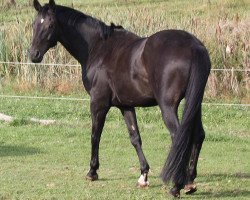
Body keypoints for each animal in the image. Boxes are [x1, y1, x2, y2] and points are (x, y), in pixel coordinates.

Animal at [30, 0, 212, 197]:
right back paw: (190, 181)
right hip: (195, 103)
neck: (98, 48)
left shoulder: (98, 103)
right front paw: (143, 176)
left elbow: (95, 135)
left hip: (168, 107)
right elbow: (135, 138)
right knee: (198, 135)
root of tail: (193, 46)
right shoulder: (126, 105)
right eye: (34, 24)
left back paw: (176, 186)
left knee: (179, 137)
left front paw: (92, 172)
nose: (33, 54)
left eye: (50, 25)